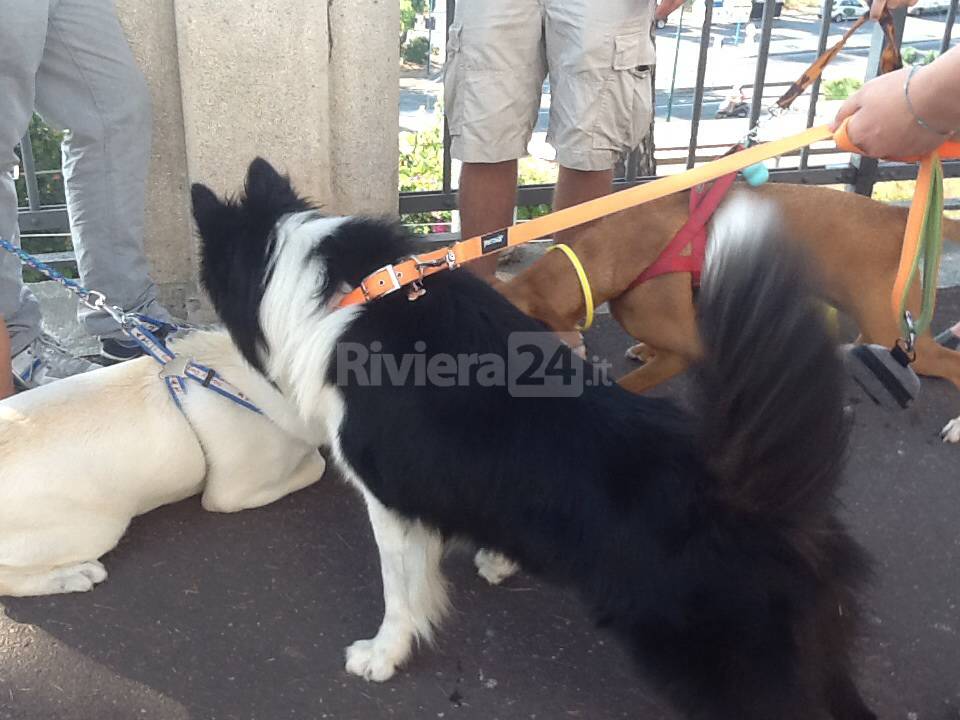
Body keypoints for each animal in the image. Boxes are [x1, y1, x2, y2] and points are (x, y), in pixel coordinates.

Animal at [191, 159, 872, 720]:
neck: (340, 293)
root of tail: (759, 494)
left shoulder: (389, 501)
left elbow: (400, 590)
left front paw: (384, 654)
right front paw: (498, 559)